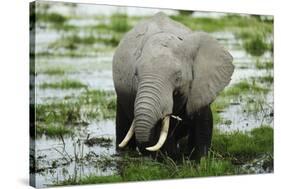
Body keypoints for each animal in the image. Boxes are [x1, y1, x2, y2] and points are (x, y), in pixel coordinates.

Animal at [112, 11, 234, 160]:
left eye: (178, 77)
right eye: (135, 74)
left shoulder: (200, 87)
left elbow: (203, 122)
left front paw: (200, 159)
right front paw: (171, 157)